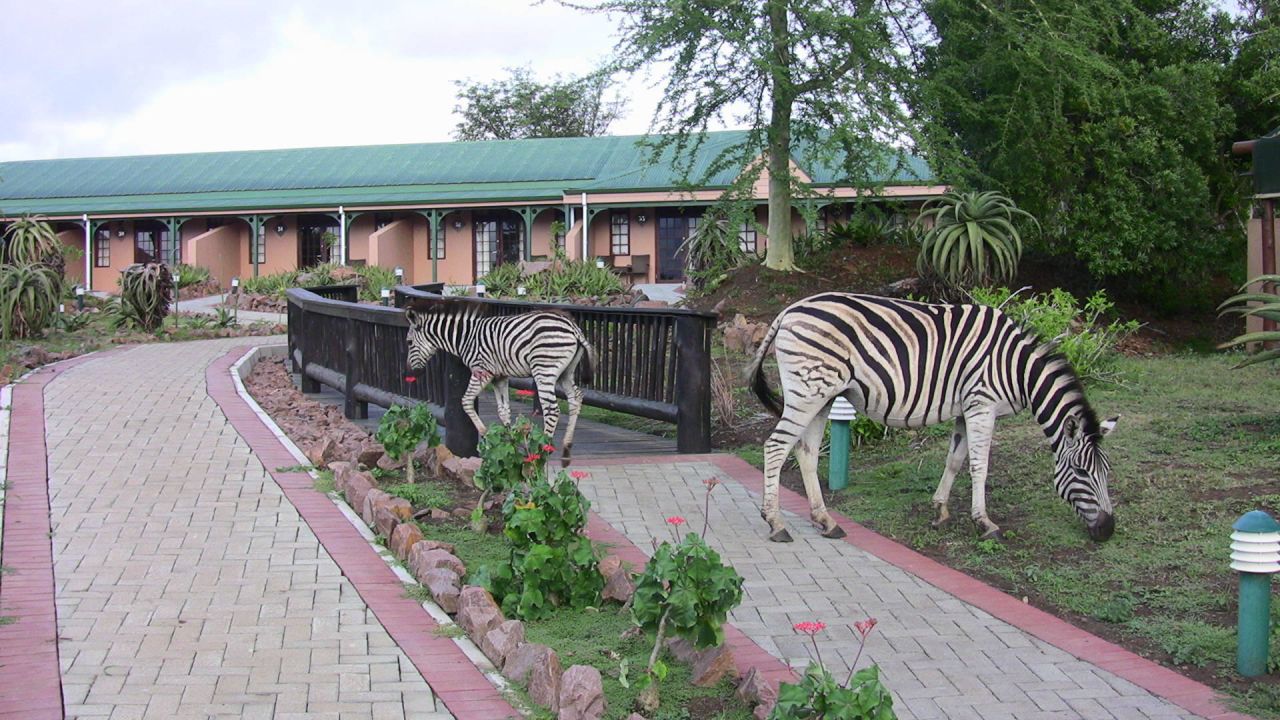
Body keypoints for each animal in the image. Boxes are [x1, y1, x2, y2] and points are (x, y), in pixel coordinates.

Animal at [404, 297, 593, 466]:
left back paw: (541, 453)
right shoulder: (499, 377)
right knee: (576, 398)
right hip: (565, 373)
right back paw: (566, 451)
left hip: (544, 370)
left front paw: (486, 435)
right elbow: (503, 410)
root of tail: (573, 327)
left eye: (409, 342)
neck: (464, 338)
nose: (410, 372)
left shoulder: (482, 371)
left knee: (552, 410)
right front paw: (510, 443)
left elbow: (466, 401)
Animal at [747, 293, 1116, 543]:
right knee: (775, 447)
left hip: (821, 396)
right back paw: (776, 523)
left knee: (805, 453)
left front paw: (940, 510)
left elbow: (955, 460)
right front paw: (985, 524)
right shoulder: (982, 405)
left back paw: (826, 521)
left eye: (1106, 472)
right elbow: (979, 466)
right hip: (808, 393)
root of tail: (789, 310)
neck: (1017, 369)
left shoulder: (966, 409)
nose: (1108, 531)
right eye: (1081, 472)